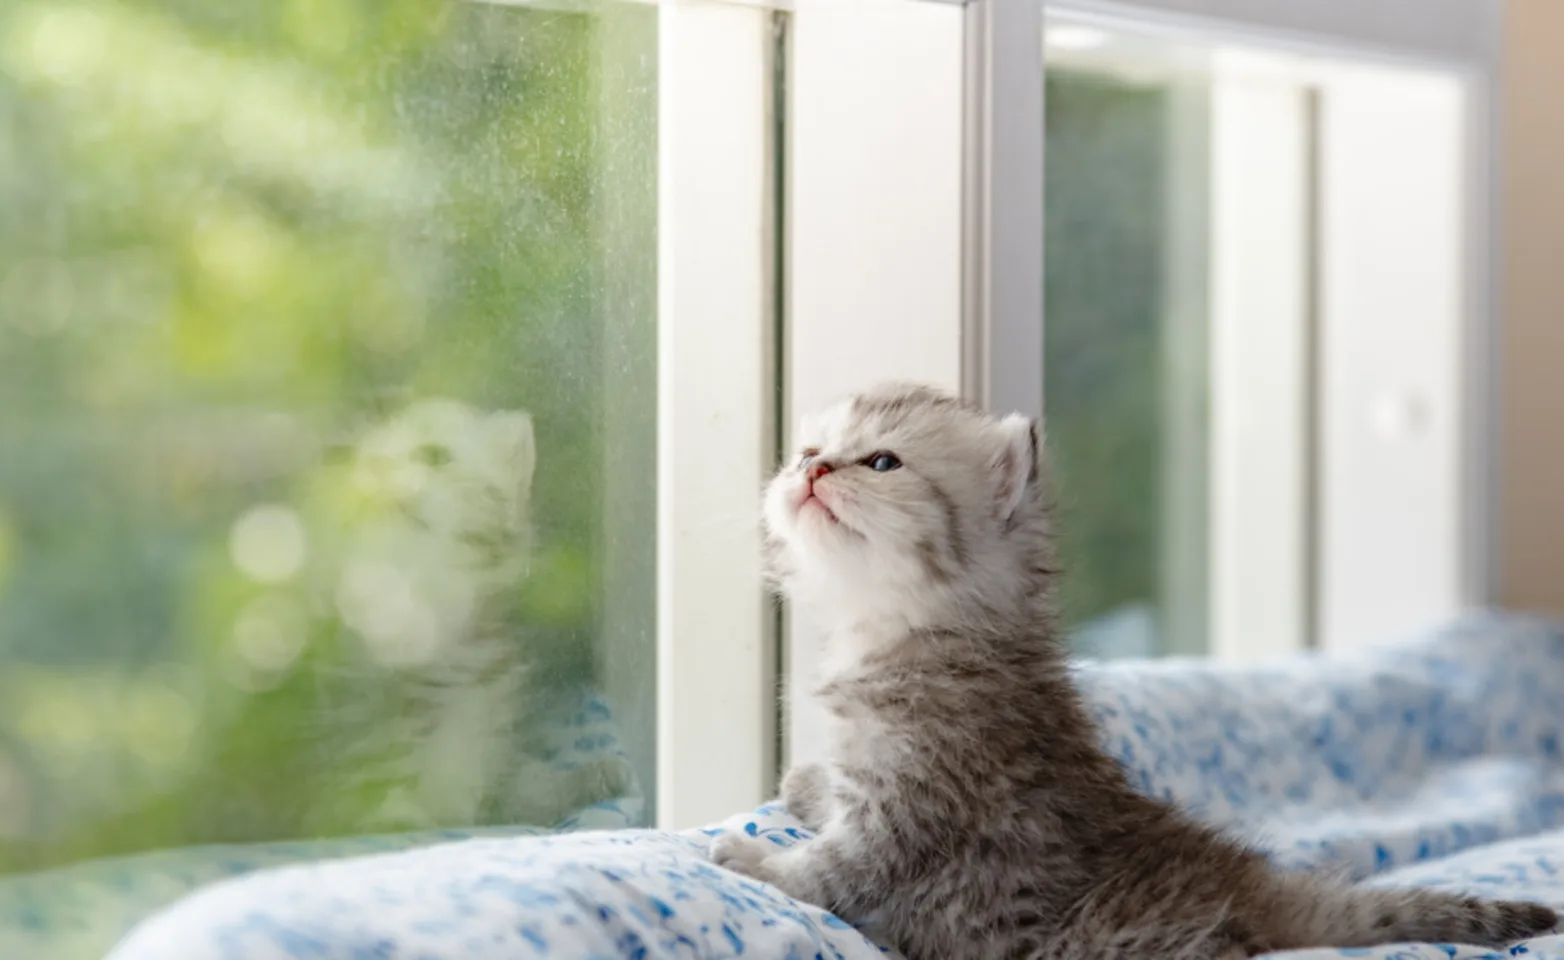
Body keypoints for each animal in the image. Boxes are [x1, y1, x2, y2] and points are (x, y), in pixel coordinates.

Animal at [716, 386, 1557, 960]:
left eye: (882, 461)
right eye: (808, 449)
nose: (810, 468)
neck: (891, 628)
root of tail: (1258, 890)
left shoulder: (916, 807)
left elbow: (832, 871)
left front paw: (754, 861)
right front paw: (807, 784)